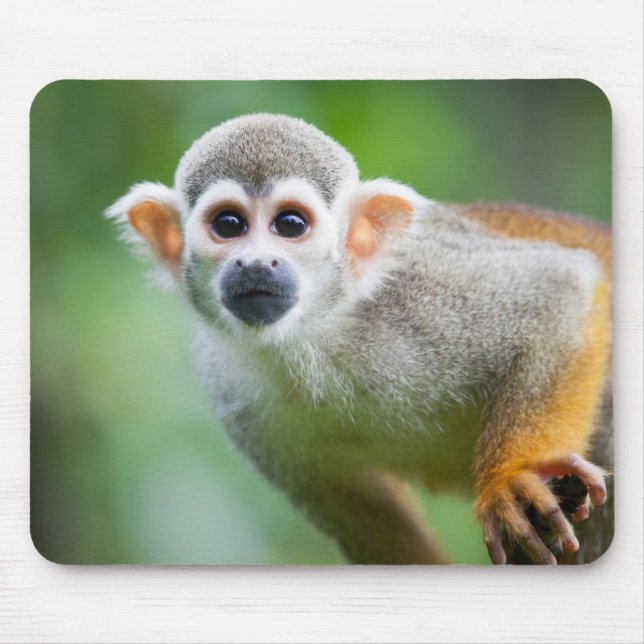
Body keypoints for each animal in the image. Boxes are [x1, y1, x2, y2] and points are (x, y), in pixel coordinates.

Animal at [107, 113, 612, 565]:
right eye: (228, 225)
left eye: (290, 224)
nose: (255, 264)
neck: (315, 333)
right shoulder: (231, 387)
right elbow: (361, 511)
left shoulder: (422, 293)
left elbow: (560, 289)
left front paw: (514, 479)